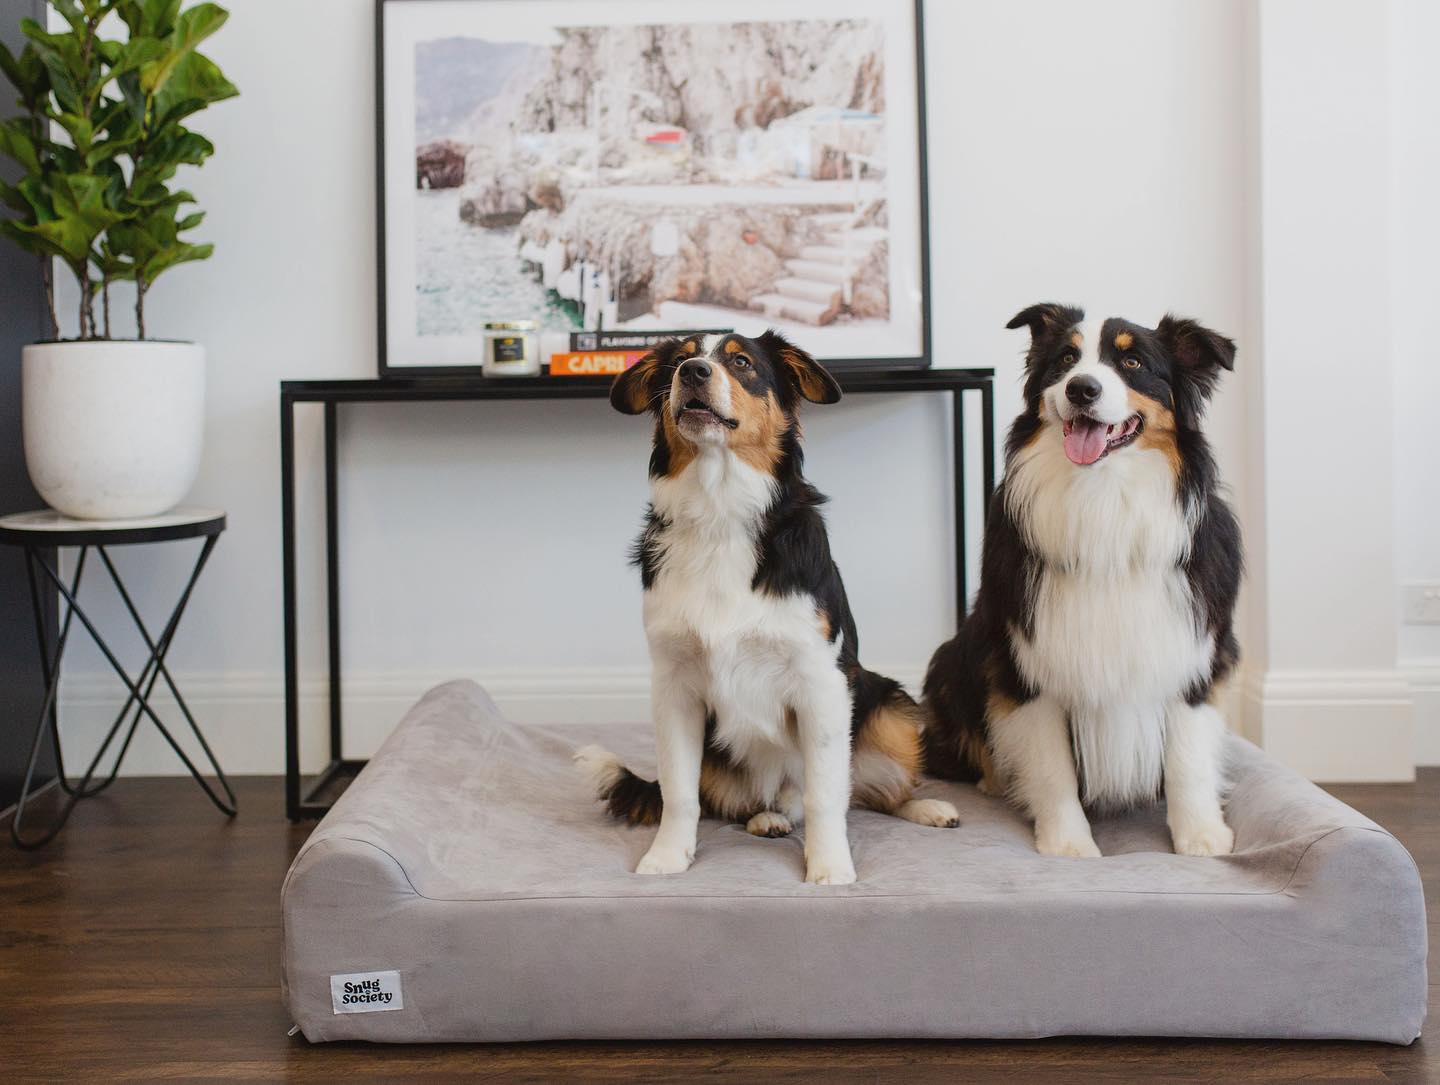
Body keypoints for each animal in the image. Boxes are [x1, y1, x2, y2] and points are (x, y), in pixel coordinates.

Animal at [927, 305, 1244, 853]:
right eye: (1066, 360)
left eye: (1133, 362)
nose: (1082, 389)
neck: (1103, 499)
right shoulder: (1027, 662)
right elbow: (1051, 766)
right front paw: (1068, 845)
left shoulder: (1192, 651)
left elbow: (1188, 758)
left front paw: (1201, 837)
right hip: (952, 660)